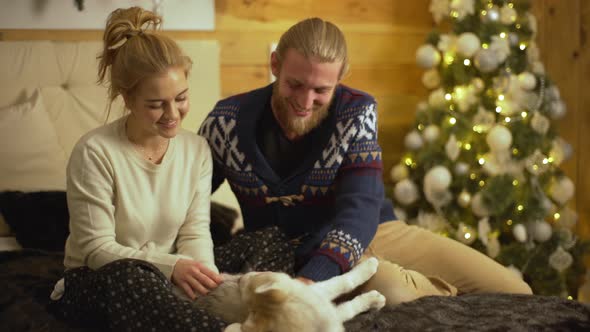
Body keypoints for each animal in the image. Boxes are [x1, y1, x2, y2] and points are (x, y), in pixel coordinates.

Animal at [193, 256, 388, 332]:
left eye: (257, 277)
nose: (240, 278)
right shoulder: (319, 296)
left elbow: (344, 284)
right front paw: (374, 297)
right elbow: (343, 286)